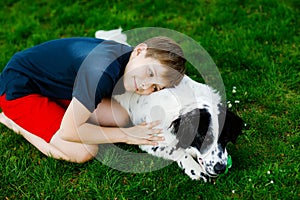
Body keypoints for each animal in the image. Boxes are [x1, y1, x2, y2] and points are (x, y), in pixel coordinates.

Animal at [112, 75, 244, 181]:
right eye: (203, 138)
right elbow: (177, 151)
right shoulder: (150, 141)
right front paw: (194, 168)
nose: (220, 168)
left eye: (226, 138)